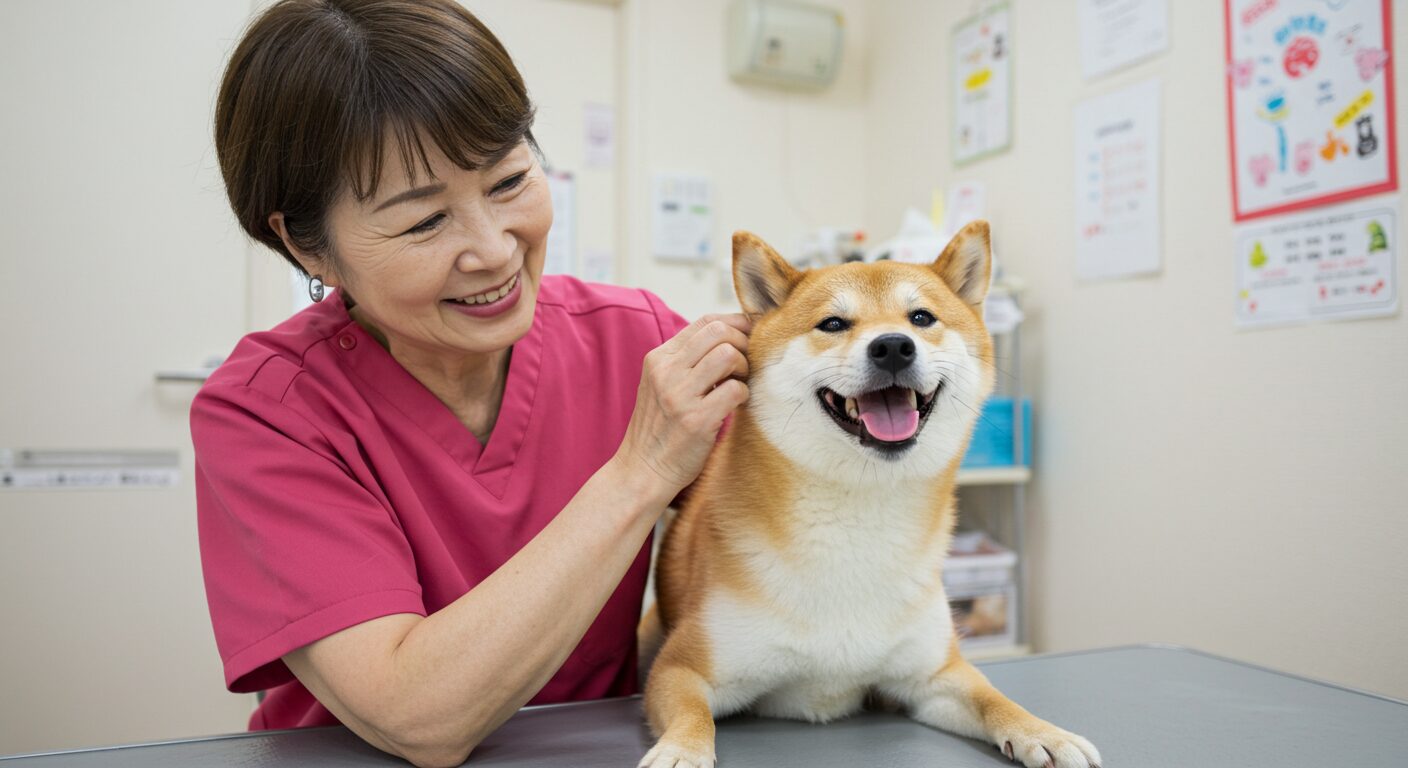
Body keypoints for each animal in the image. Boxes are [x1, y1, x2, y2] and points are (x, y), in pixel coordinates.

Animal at [639, 221, 1098, 766]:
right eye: (833, 324)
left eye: (921, 317)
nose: (894, 346)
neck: (861, 519)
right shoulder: (684, 667)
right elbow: (693, 714)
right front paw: (682, 751)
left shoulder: (935, 675)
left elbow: (994, 699)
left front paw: (1043, 732)